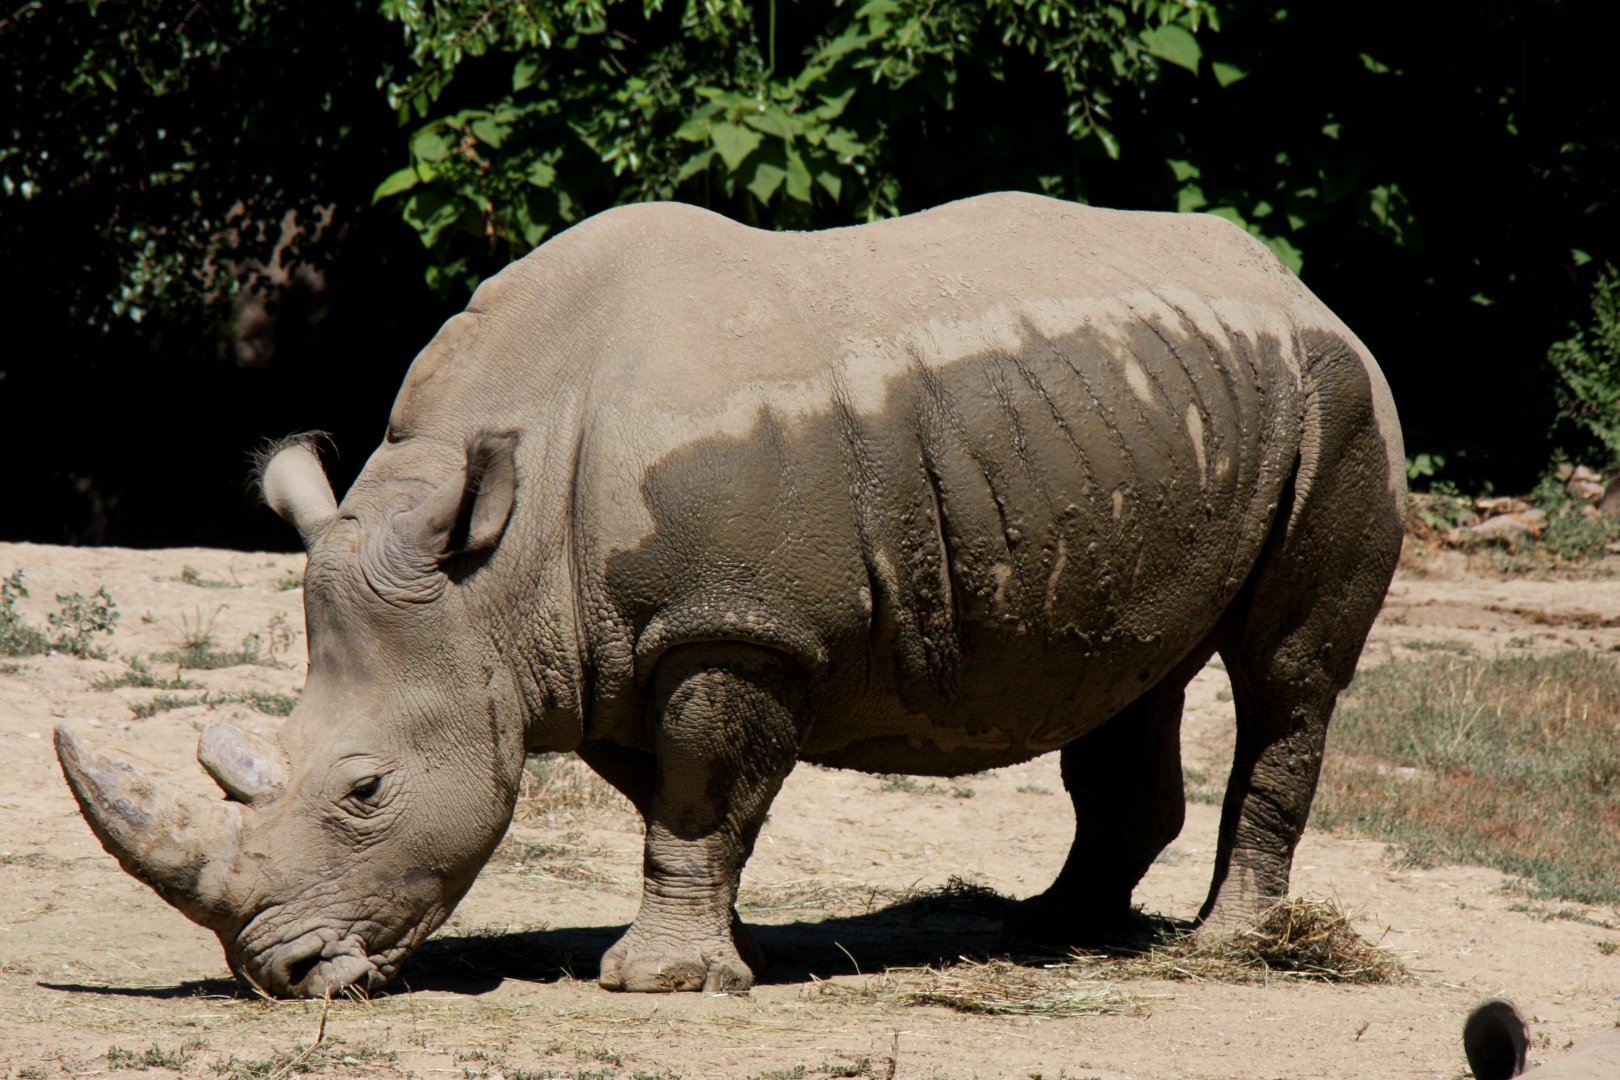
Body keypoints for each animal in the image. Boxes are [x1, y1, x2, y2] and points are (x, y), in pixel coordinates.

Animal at [56, 192, 1405, 997]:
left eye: (367, 791)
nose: (277, 974)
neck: (495, 576)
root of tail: (1297, 285)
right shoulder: (609, 645)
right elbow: (679, 803)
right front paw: (723, 954)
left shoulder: (735, 629)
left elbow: (700, 799)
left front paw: (655, 984)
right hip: (1158, 411)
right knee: (1131, 669)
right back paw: (1052, 932)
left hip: (1337, 399)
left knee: (1284, 673)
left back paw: (1230, 945)